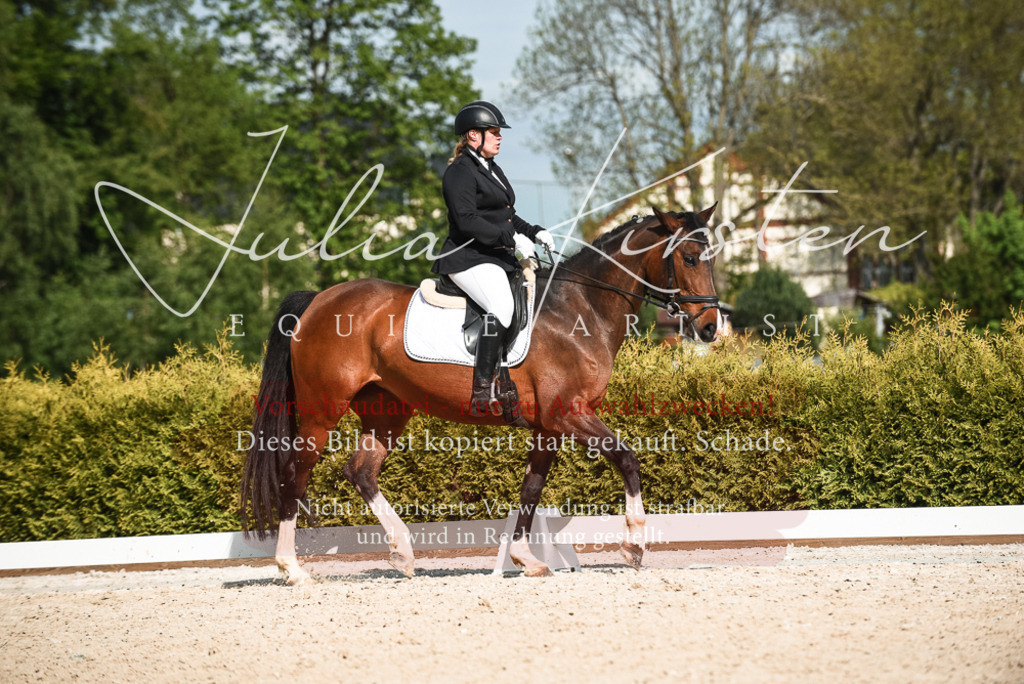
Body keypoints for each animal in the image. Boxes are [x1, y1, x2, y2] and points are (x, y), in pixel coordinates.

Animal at [240, 203, 720, 584]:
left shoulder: (549, 427)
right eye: (690, 257)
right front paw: (635, 544)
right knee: (294, 473)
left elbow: (531, 490)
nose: (711, 327)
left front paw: (526, 559)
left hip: (387, 409)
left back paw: (403, 553)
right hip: (322, 411)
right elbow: (627, 458)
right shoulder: (568, 413)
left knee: (361, 470)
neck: (579, 309)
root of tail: (319, 300)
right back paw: (291, 568)